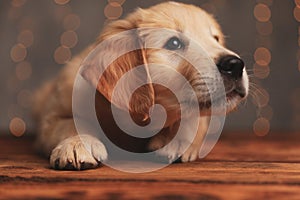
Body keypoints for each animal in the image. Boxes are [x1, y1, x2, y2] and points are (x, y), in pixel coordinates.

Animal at [34, 1, 248, 170]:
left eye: (216, 39)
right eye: (174, 43)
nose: (235, 64)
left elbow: (193, 118)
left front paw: (177, 141)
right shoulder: (53, 112)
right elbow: (69, 123)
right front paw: (76, 145)